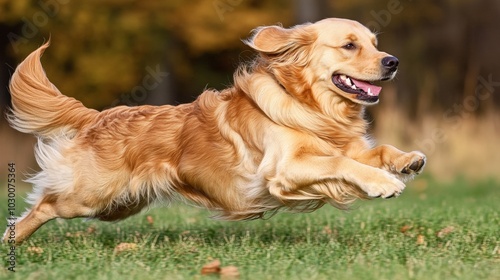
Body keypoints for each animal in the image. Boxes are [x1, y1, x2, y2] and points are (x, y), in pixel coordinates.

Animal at [2, 18, 426, 244]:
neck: (310, 106)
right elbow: (341, 163)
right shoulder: (282, 170)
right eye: (349, 46)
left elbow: (372, 152)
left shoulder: (342, 146)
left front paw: (407, 160)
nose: (393, 61)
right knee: (44, 203)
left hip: (120, 205)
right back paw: (13, 239)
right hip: (90, 197)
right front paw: (383, 183)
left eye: (374, 43)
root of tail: (96, 117)